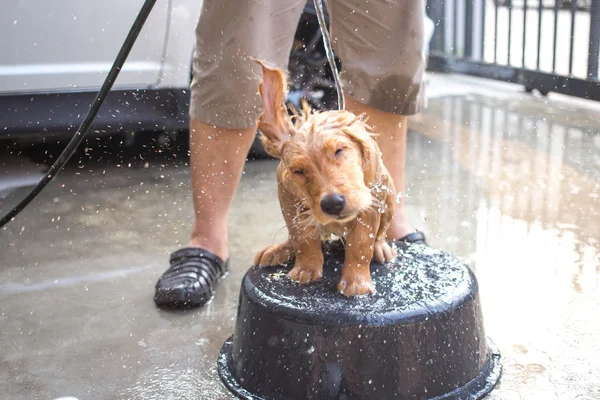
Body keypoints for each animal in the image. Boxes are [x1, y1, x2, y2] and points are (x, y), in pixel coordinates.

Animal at [252, 60, 396, 296]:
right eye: (298, 171)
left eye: (339, 150)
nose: (333, 204)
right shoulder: (288, 196)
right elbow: (302, 235)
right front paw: (306, 268)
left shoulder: (371, 199)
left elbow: (361, 241)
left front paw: (356, 282)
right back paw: (280, 250)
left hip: (389, 192)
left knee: (380, 233)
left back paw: (381, 248)